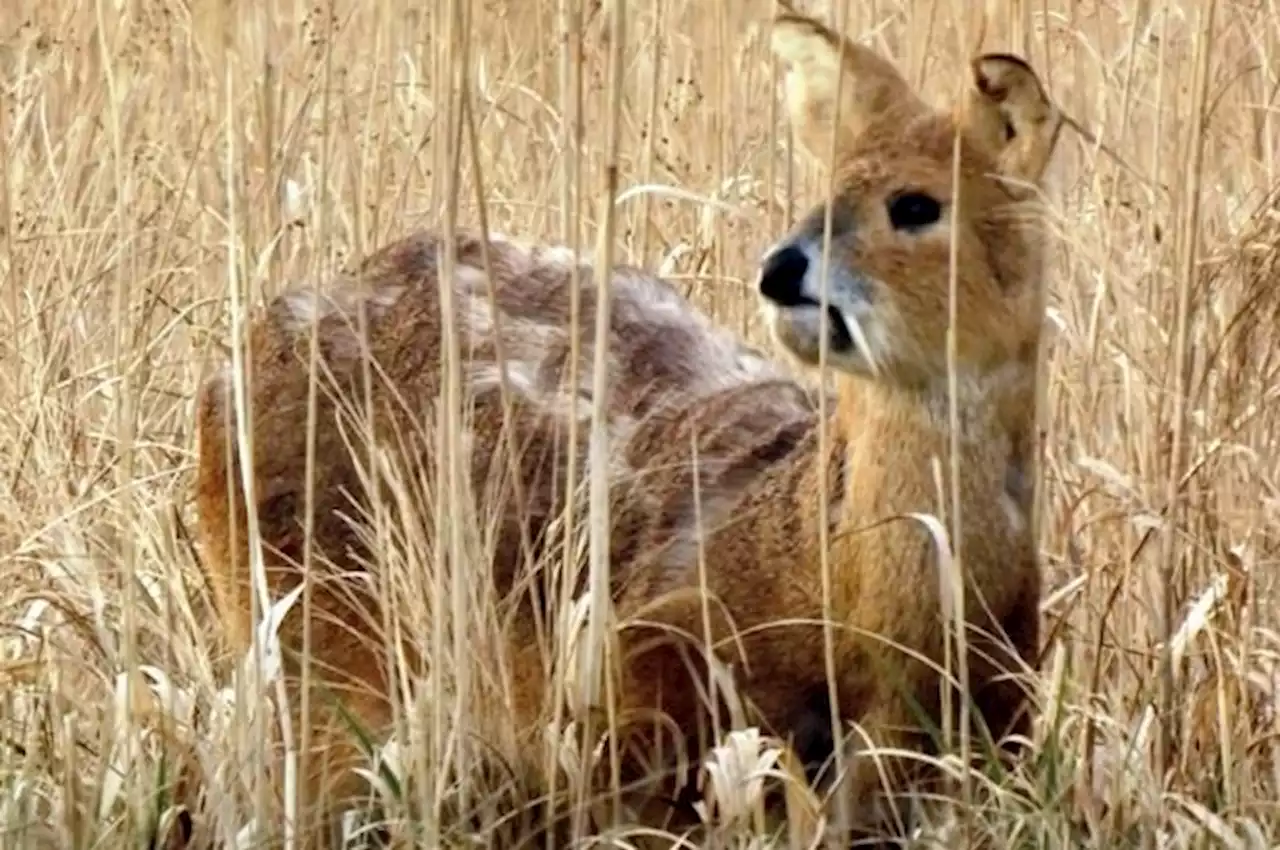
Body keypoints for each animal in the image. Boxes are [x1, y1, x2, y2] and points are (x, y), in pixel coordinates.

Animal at [194, 4, 1064, 844]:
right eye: (824, 190)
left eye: (916, 205)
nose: (780, 269)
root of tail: (237, 356)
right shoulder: (636, 696)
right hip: (307, 647)